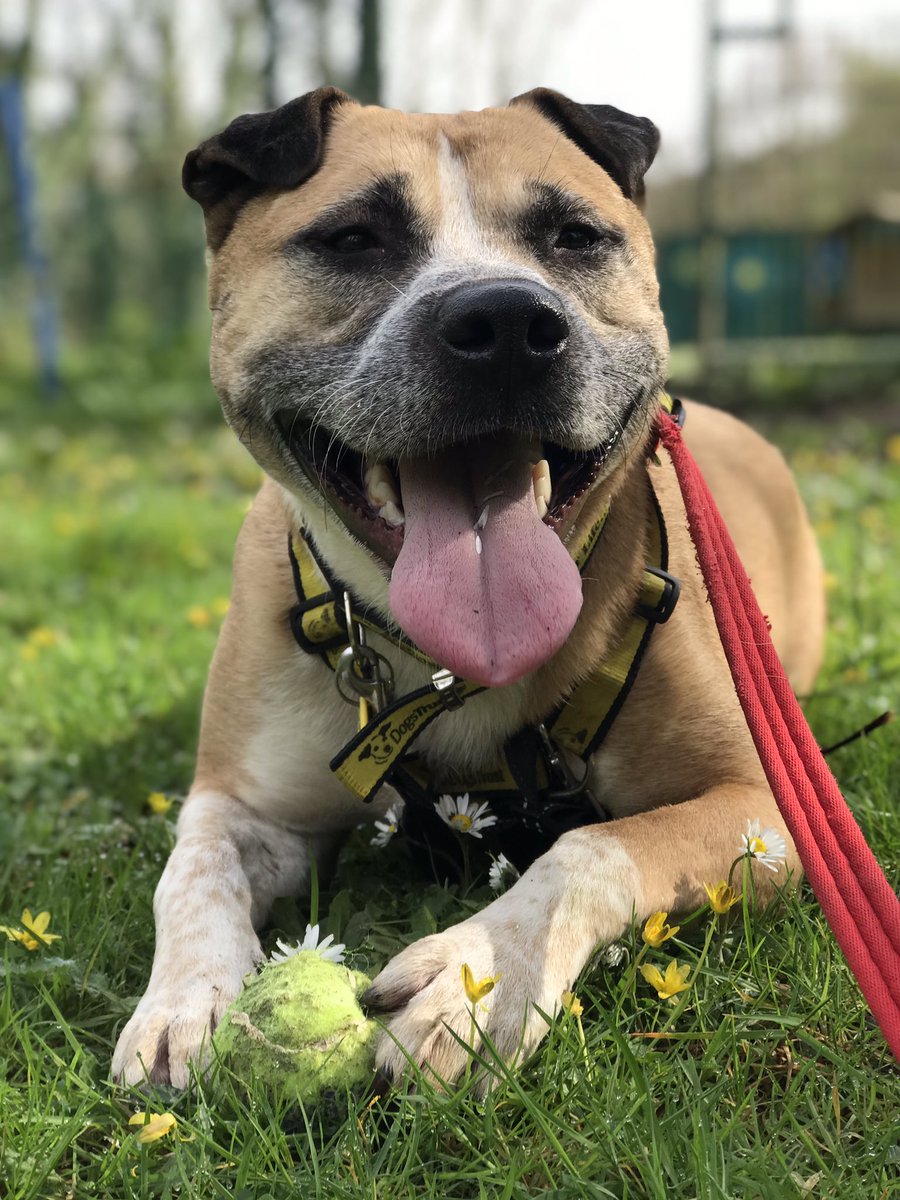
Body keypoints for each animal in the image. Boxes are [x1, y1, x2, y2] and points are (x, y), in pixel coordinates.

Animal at [111, 88, 825, 1094]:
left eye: (574, 236)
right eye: (354, 238)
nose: (508, 323)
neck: (446, 666)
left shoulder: (766, 811)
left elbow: (590, 846)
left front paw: (475, 978)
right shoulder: (245, 802)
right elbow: (193, 866)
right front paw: (183, 1001)